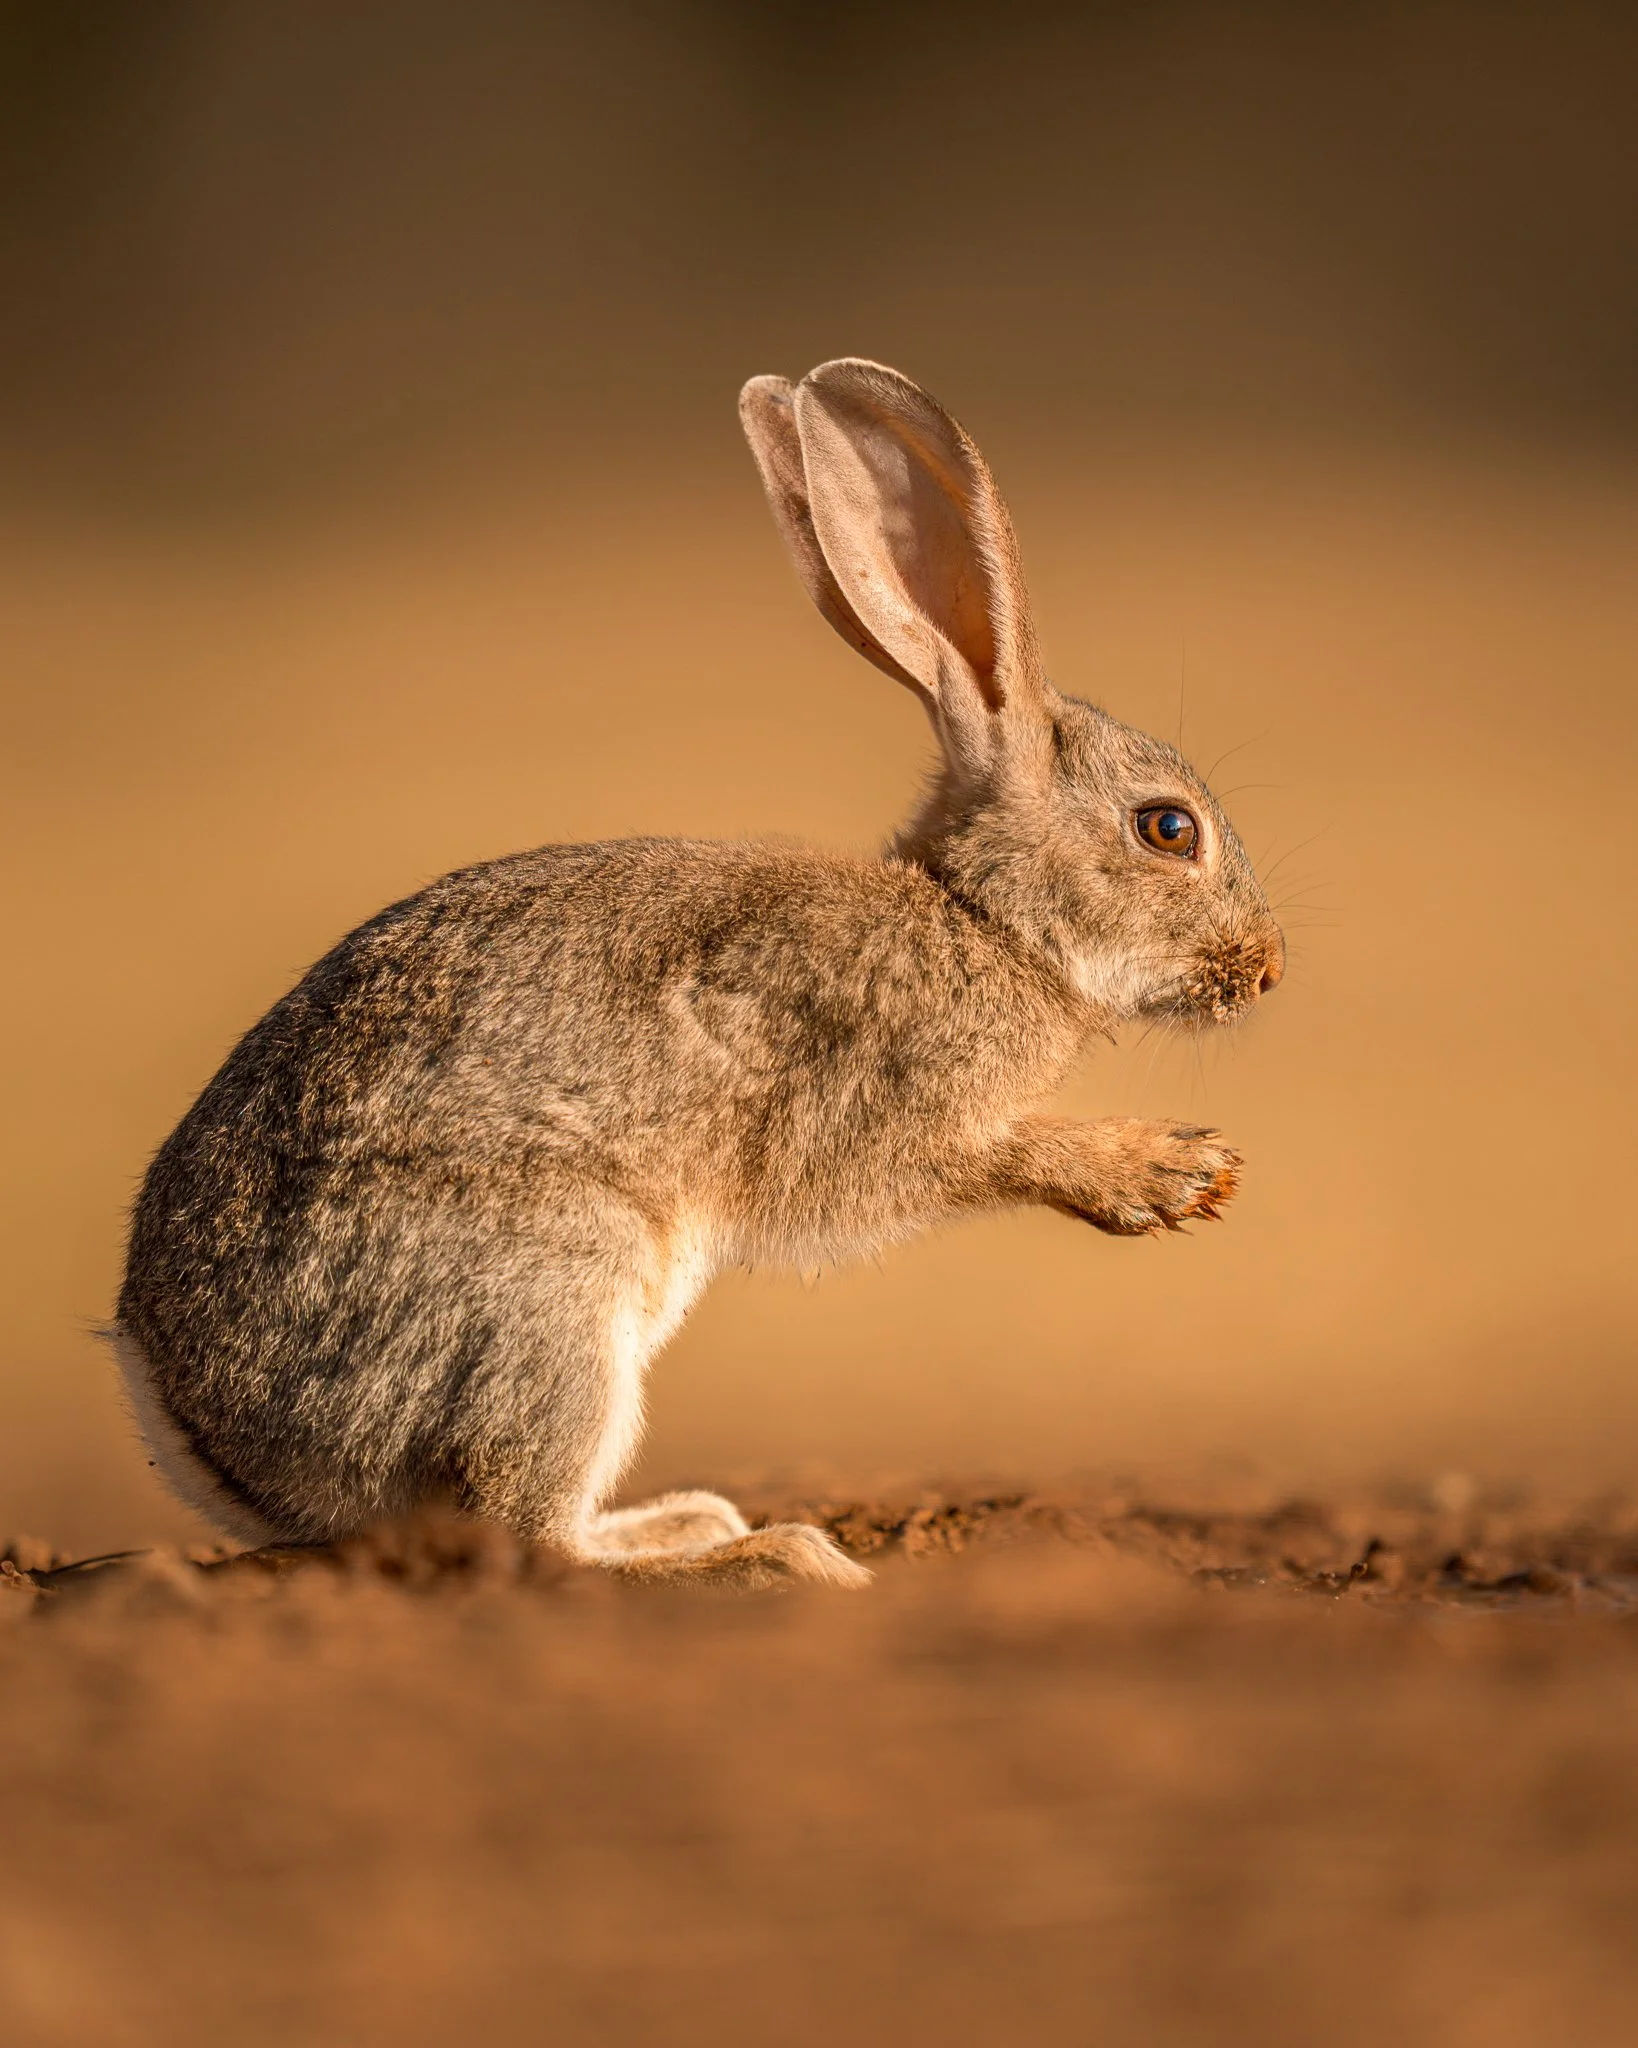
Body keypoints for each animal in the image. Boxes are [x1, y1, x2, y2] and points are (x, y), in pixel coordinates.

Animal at [114, 358, 1284, 1589]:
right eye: (1168, 829)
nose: (1267, 968)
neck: (983, 919)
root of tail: (231, 1450)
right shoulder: (881, 1107)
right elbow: (976, 1155)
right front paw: (1169, 1171)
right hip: (554, 1297)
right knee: (532, 1543)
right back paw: (776, 1559)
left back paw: (699, 1523)